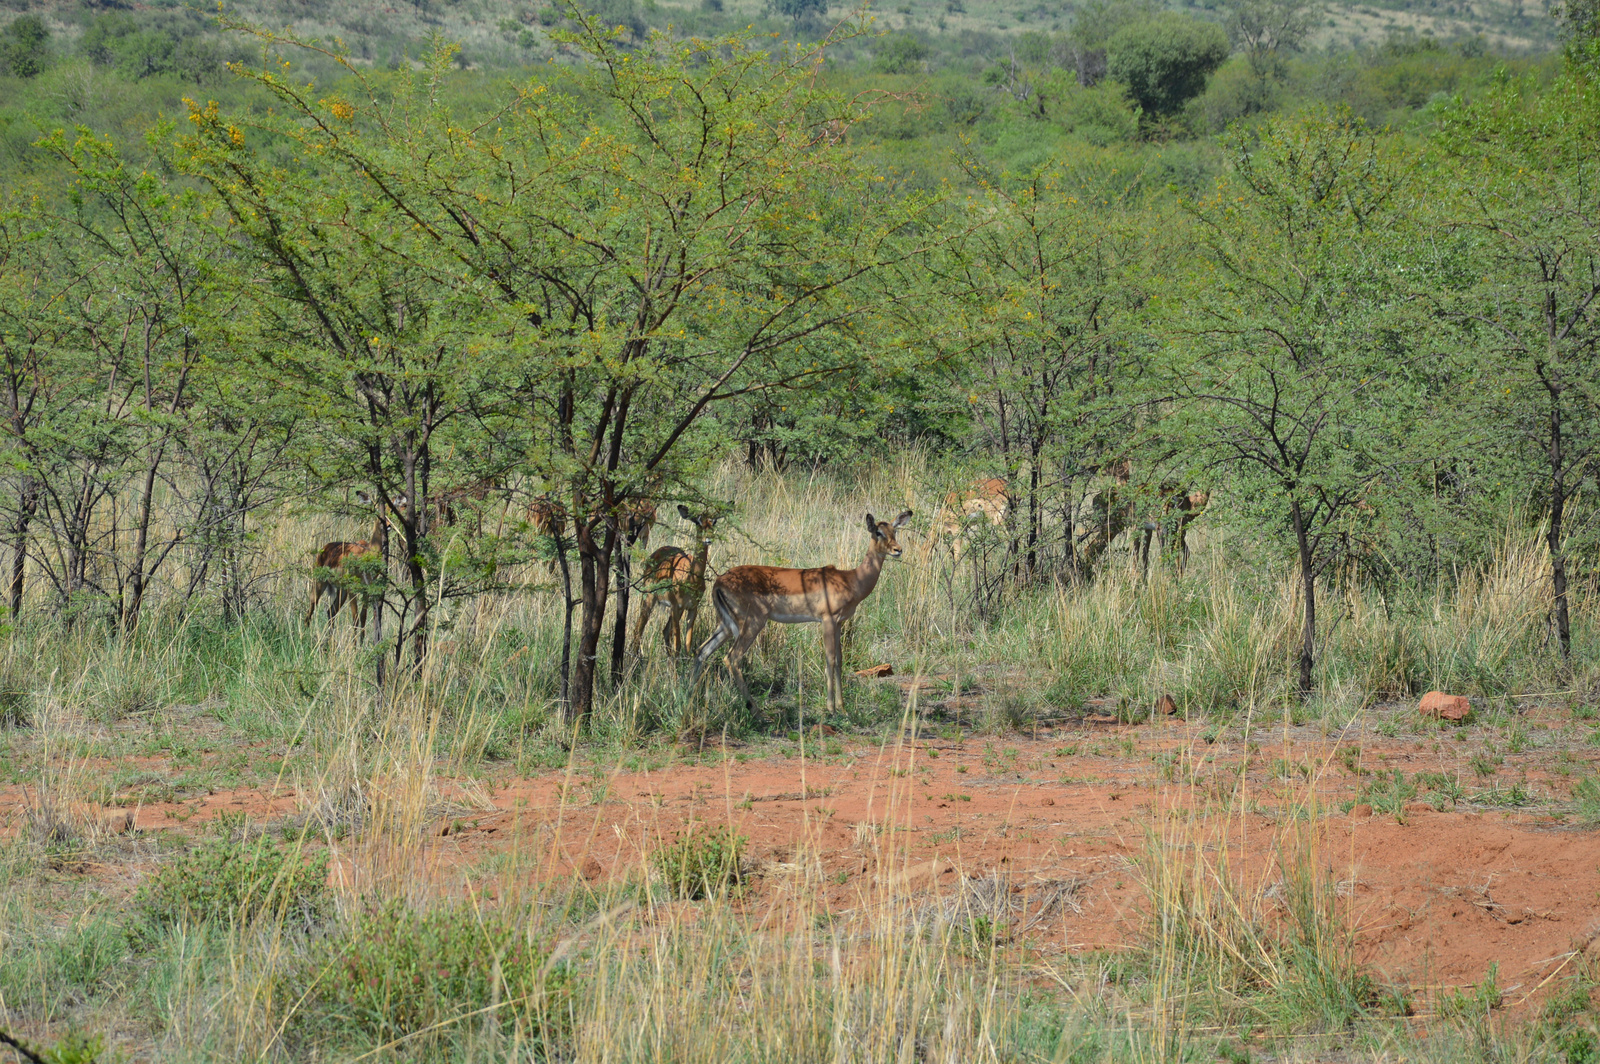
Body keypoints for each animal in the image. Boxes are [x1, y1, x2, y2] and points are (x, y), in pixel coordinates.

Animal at [630, 505, 720, 656]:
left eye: (713, 522)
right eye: (698, 521)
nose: (708, 539)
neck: (692, 578)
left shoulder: (692, 608)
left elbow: (687, 644)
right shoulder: (676, 607)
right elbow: (677, 644)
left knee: (665, 631)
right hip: (649, 600)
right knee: (638, 629)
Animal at [691, 505, 915, 713]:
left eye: (895, 530)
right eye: (878, 532)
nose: (897, 549)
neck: (851, 580)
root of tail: (719, 581)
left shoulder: (839, 623)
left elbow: (840, 661)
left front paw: (842, 708)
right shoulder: (827, 620)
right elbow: (830, 660)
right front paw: (831, 708)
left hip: (726, 626)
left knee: (702, 650)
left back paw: (692, 696)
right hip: (751, 624)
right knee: (732, 658)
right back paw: (755, 710)